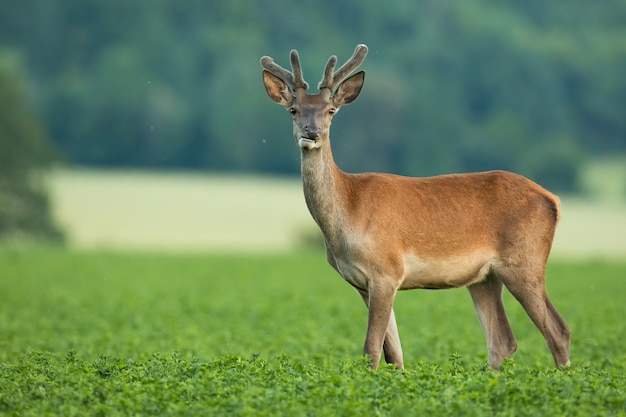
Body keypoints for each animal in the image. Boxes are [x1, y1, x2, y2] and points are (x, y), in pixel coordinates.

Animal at [256, 44, 568, 368]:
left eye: (330, 110)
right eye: (294, 110)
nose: (311, 132)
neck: (348, 213)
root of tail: (553, 199)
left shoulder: (386, 270)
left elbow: (371, 351)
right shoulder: (363, 283)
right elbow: (394, 353)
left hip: (524, 260)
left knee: (558, 331)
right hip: (485, 277)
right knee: (503, 341)